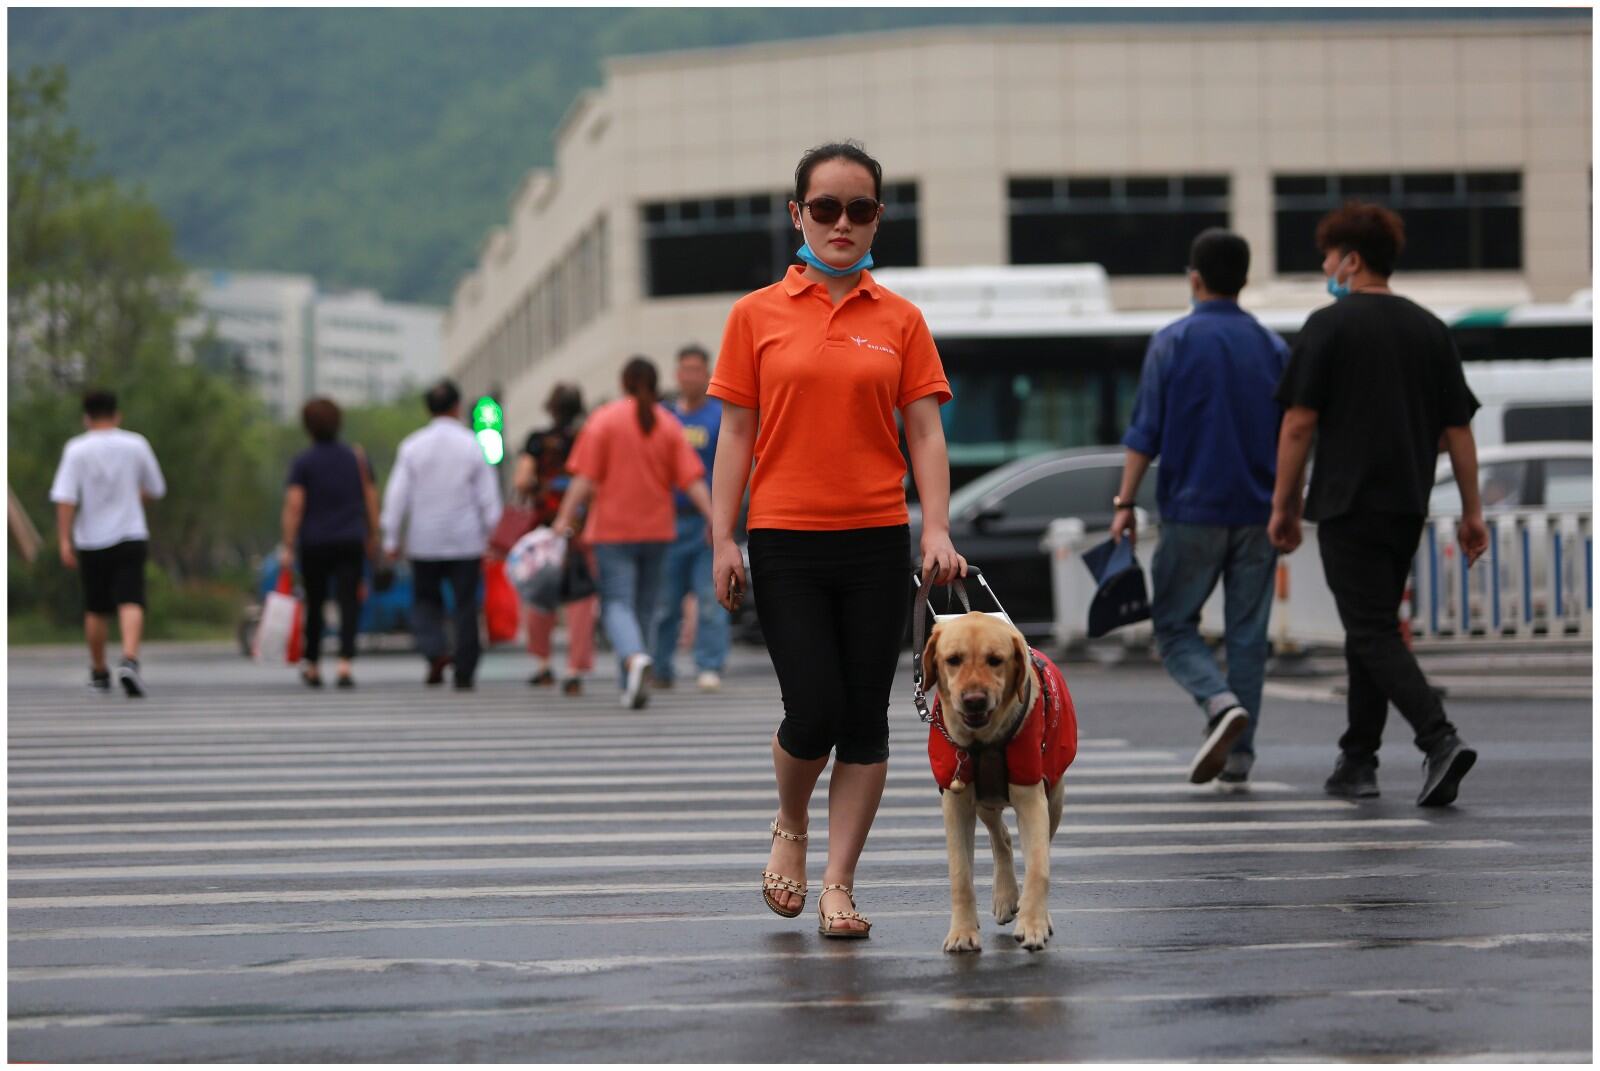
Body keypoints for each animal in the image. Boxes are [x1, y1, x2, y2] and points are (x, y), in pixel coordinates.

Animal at [922, 611, 1078, 953]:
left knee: (1037, 845)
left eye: (995, 660)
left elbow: (1038, 866)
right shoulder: (956, 799)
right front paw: (962, 932)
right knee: (1001, 837)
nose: (974, 701)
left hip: (1055, 795)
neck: (984, 741)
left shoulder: (1032, 797)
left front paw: (1033, 924)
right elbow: (960, 875)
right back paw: (1006, 896)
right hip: (986, 799)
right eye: (953, 660)